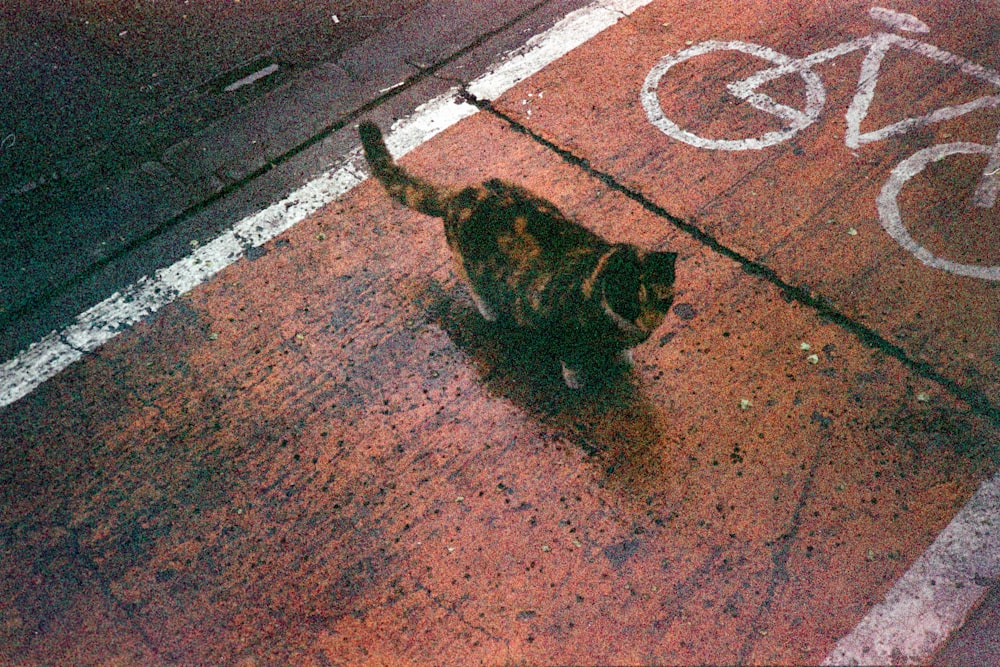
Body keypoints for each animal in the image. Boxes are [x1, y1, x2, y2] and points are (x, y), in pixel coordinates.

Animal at [356, 120, 676, 392]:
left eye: (659, 299)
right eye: (628, 300)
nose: (647, 323)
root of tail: (460, 194)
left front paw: (623, 357)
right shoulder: (560, 327)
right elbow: (571, 359)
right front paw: (578, 380)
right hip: (469, 264)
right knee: (474, 286)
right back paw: (490, 311)